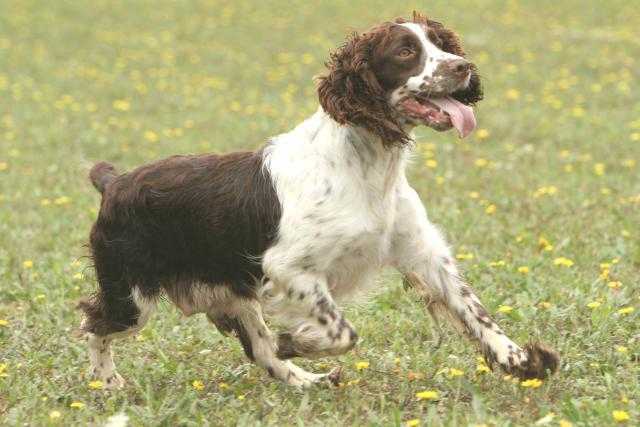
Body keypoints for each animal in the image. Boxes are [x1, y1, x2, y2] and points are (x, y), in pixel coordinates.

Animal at [79, 12, 559, 389]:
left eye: (441, 43)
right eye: (405, 51)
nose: (464, 66)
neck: (367, 164)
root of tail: (114, 182)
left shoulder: (422, 253)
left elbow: (474, 310)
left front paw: (523, 361)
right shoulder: (290, 269)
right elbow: (342, 332)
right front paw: (300, 340)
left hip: (232, 293)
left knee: (261, 351)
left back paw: (310, 381)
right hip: (132, 294)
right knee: (92, 324)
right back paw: (109, 383)